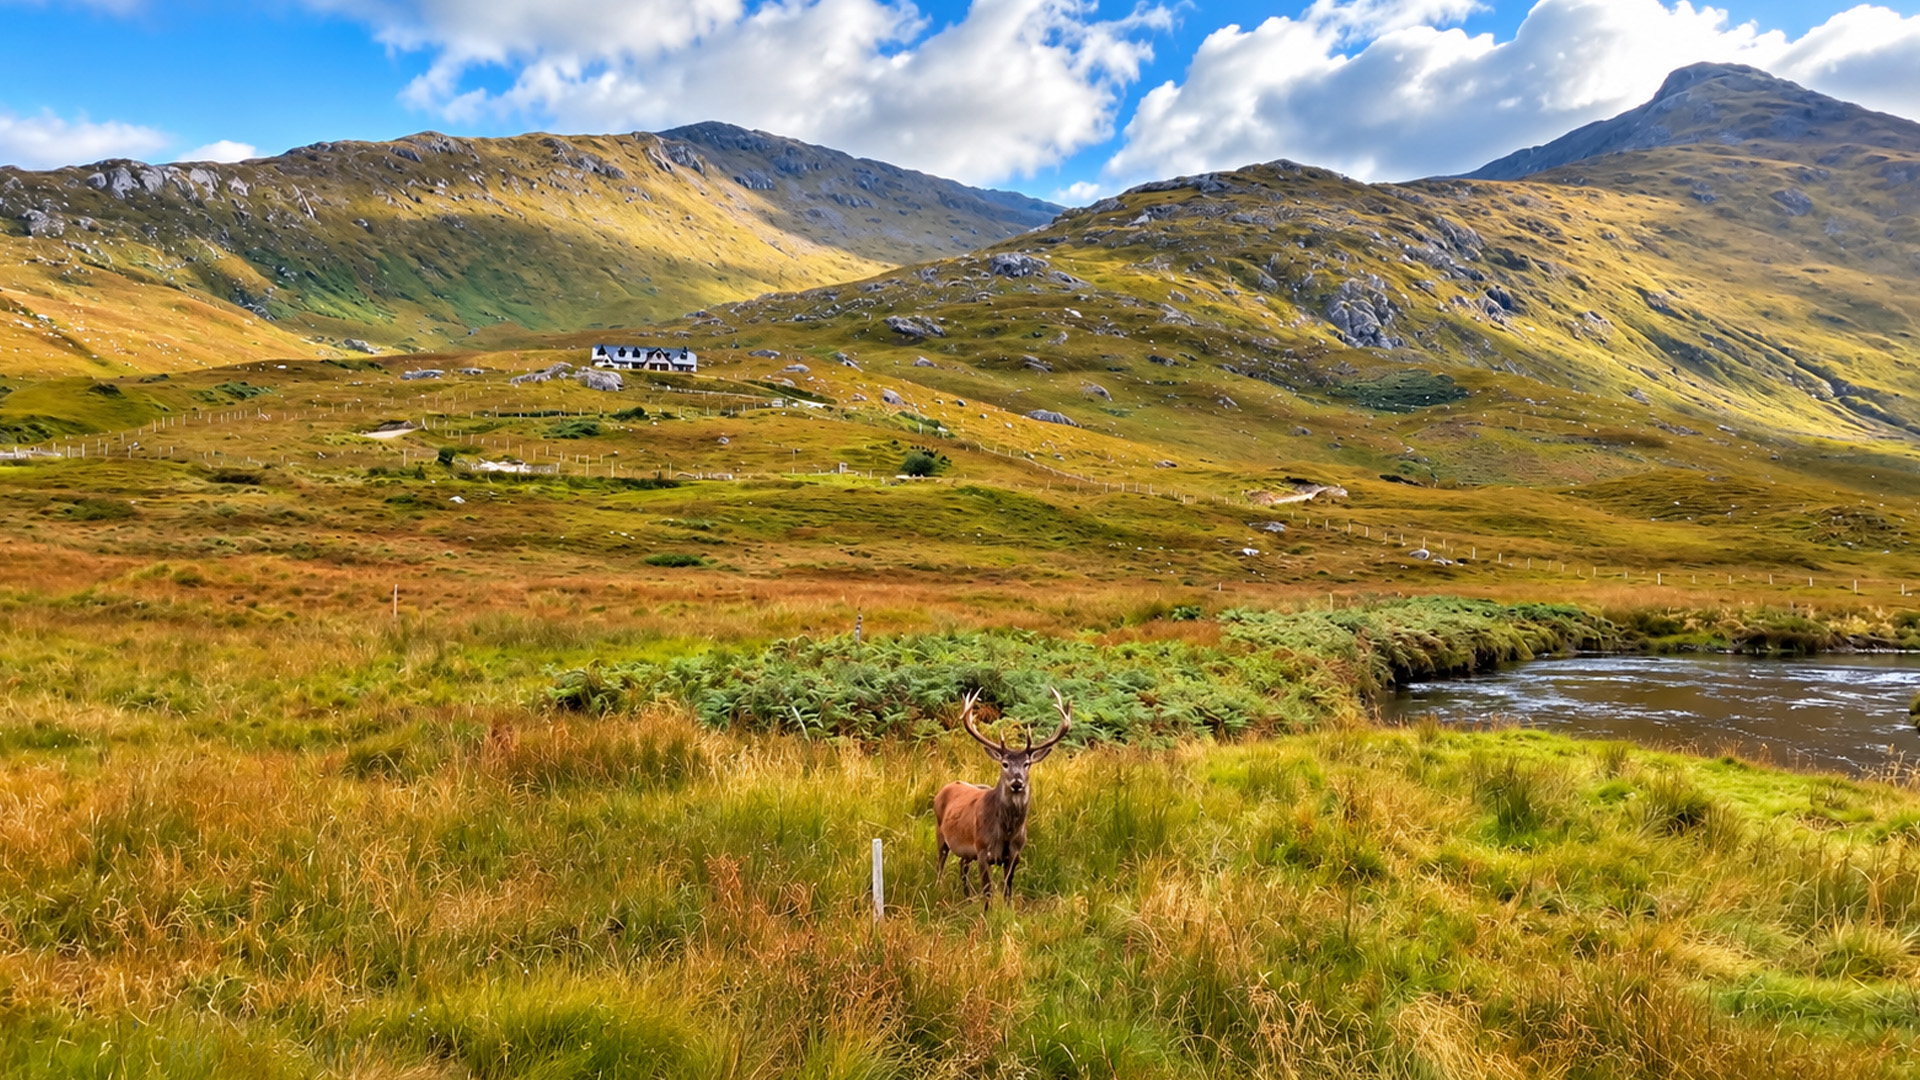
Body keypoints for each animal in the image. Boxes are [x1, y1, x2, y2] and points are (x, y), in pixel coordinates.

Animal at [934, 689, 1072, 910]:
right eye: (1005, 763)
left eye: (1027, 764)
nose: (1017, 782)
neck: (1006, 832)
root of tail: (943, 789)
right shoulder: (982, 849)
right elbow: (988, 891)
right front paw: (987, 914)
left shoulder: (1015, 854)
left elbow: (1007, 889)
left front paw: (1007, 911)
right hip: (941, 835)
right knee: (940, 866)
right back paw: (939, 890)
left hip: (966, 852)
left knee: (962, 866)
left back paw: (967, 898)